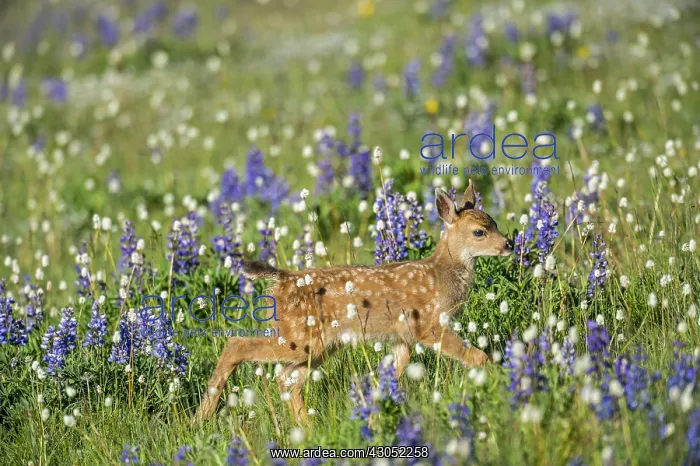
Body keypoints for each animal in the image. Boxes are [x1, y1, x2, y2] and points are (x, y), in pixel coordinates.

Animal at [194, 179, 514, 424]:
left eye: (495, 222)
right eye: (479, 232)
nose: (509, 244)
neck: (442, 275)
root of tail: (281, 278)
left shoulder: (403, 339)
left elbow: (390, 376)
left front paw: (375, 415)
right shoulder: (428, 325)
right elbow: (478, 357)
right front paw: (496, 381)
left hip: (316, 345)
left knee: (286, 379)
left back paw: (306, 429)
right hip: (299, 337)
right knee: (237, 345)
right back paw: (202, 418)